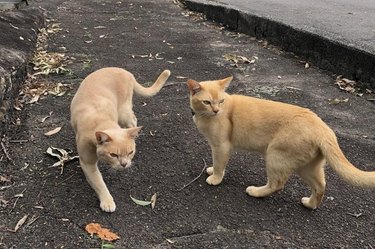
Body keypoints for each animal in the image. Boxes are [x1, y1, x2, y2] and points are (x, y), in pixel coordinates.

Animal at [70, 67, 170, 212]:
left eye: (130, 152)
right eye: (113, 155)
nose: (124, 164)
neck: (99, 121)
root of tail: (125, 71)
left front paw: (107, 201)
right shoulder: (87, 163)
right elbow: (99, 183)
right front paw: (107, 200)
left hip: (124, 111)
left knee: (133, 119)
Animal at [188, 76, 375, 210]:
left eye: (221, 101)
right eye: (207, 102)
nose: (216, 111)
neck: (204, 116)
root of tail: (323, 128)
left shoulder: (222, 146)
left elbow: (219, 165)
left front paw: (215, 178)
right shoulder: (218, 147)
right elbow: (217, 163)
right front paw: (212, 170)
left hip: (275, 156)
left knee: (277, 184)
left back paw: (255, 191)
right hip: (307, 166)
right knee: (321, 186)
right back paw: (310, 205)